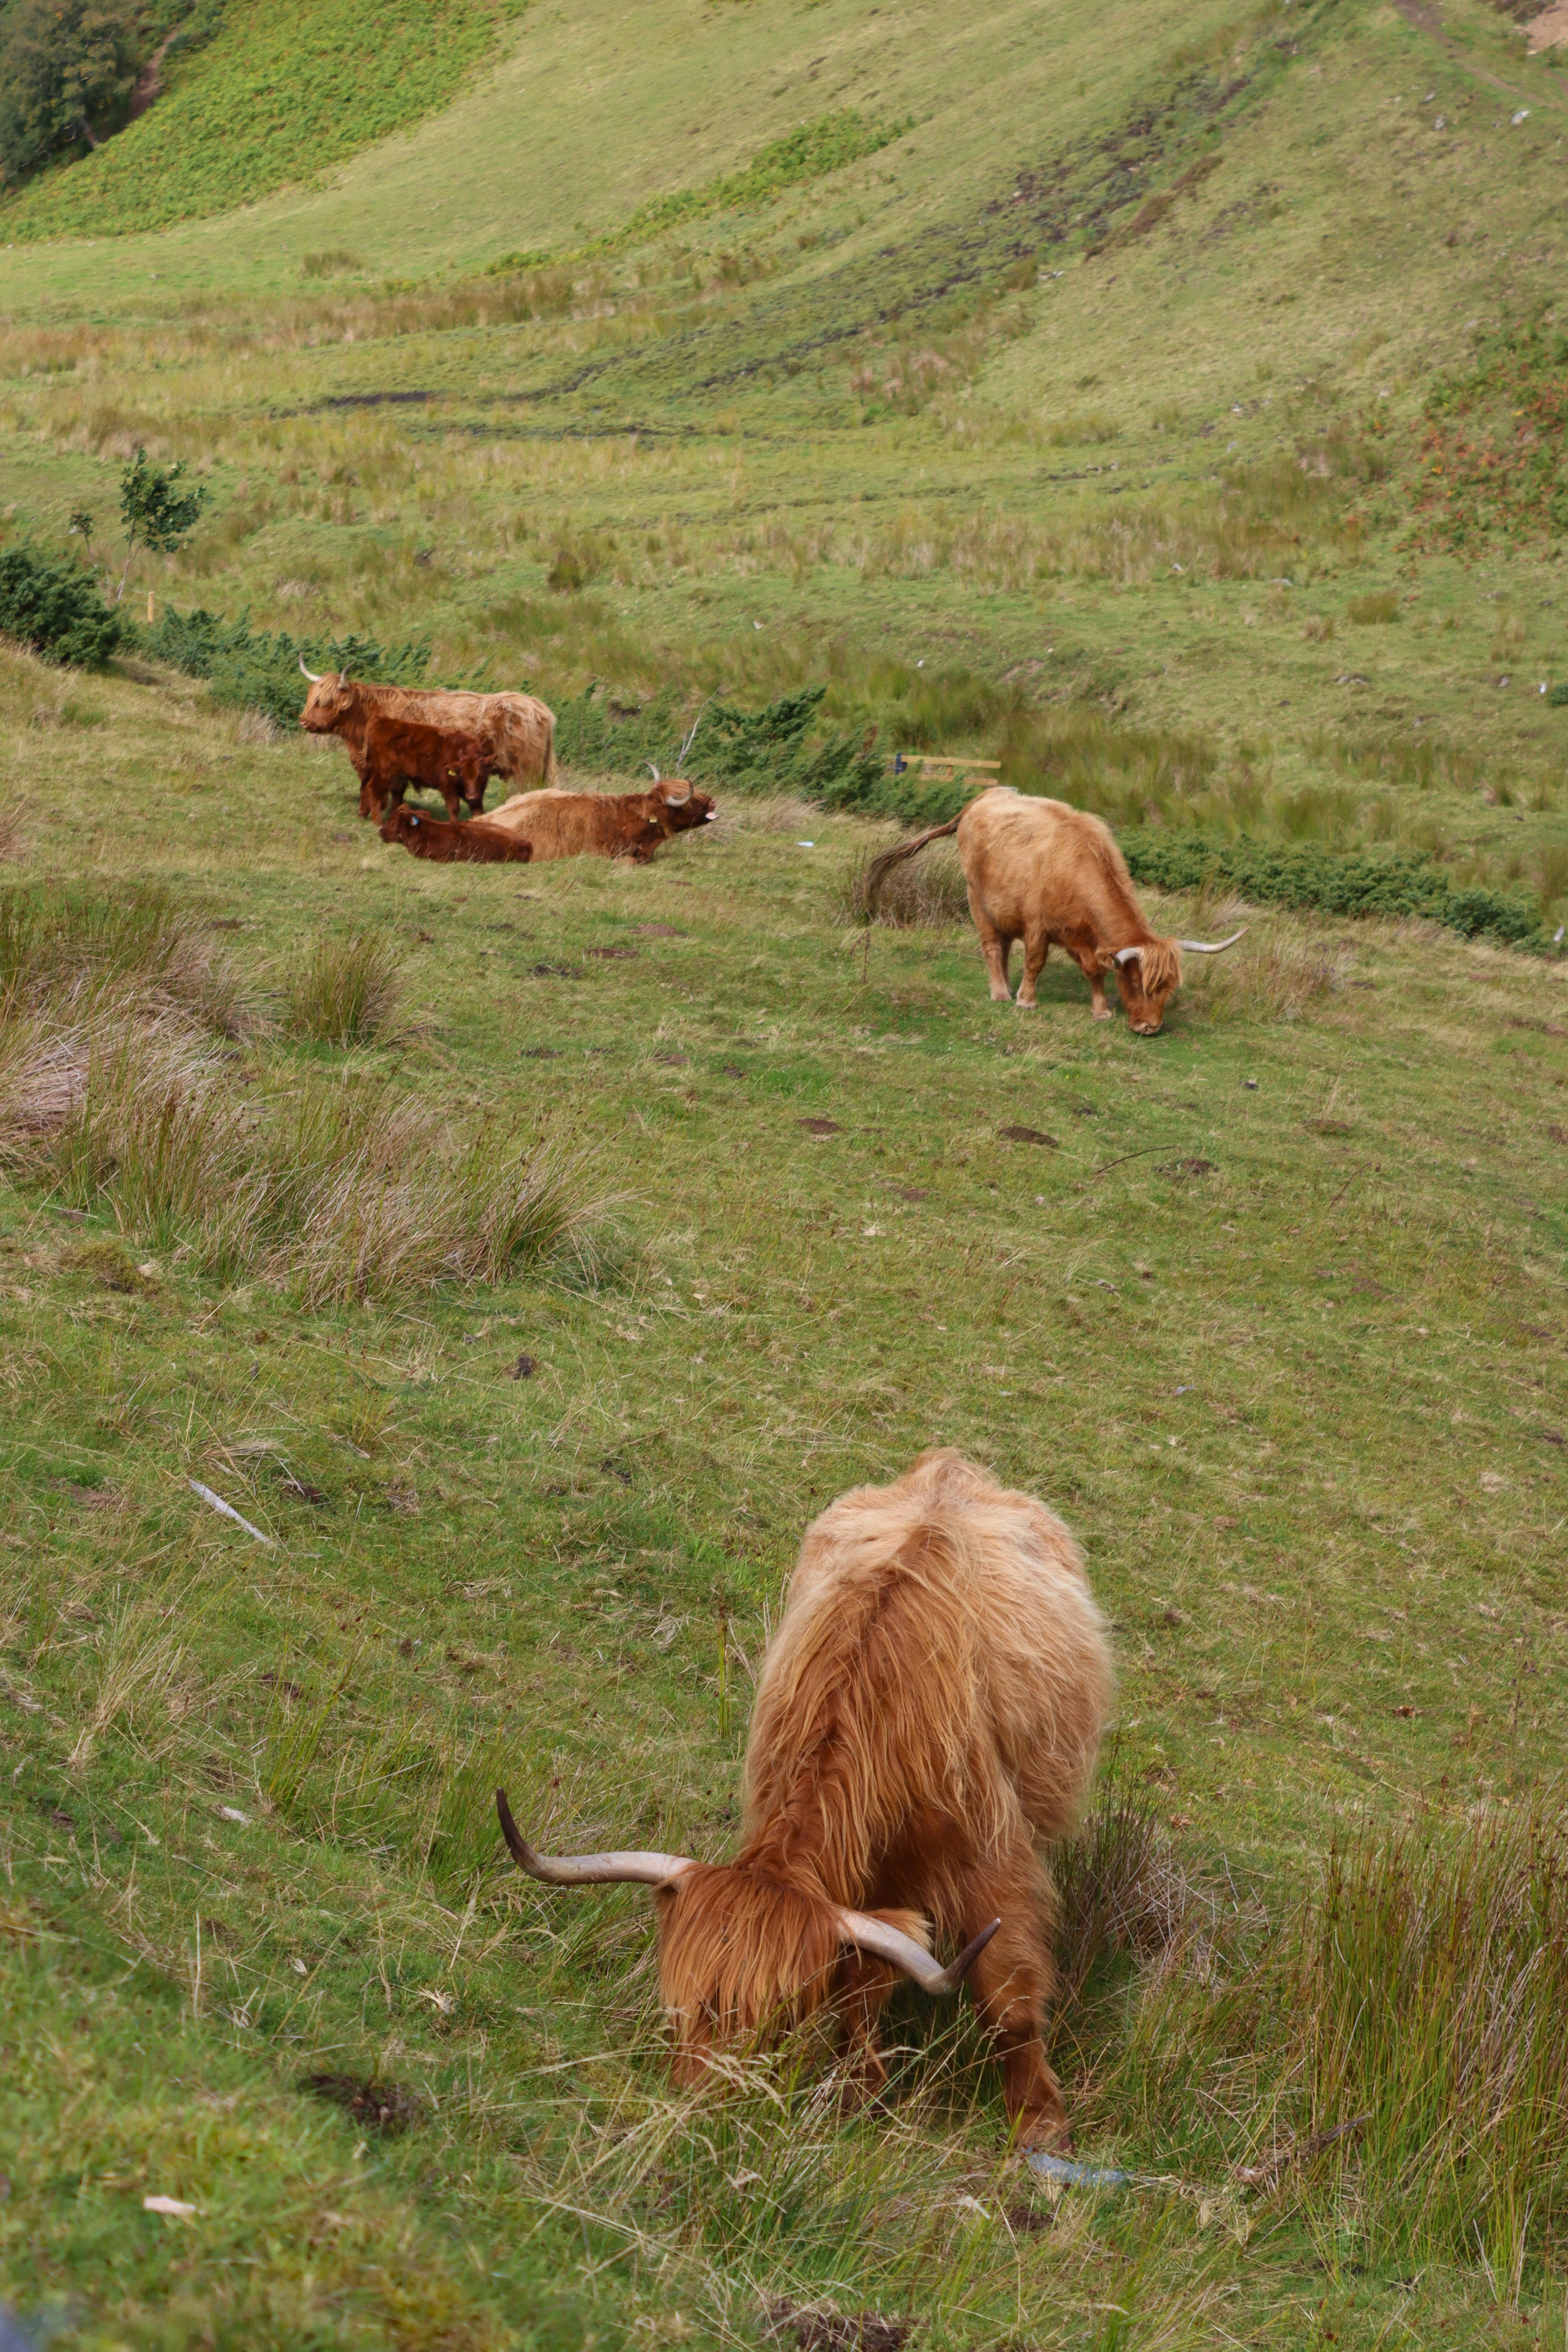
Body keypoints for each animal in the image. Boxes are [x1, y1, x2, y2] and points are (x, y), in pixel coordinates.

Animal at [358, 713, 502, 823]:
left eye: (481, 774)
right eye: (462, 774)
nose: (471, 796)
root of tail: (382, 721)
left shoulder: (478, 794)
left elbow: (479, 811)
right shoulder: (449, 788)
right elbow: (454, 808)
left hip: (393, 775)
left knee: (381, 791)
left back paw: (365, 814)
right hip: (383, 774)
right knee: (374, 790)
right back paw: (378, 822)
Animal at [496, 1448, 1113, 2151]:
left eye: (778, 2017)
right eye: (678, 2004)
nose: (695, 2109)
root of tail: (948, 1465)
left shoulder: (992, 1859)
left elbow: (1007, 1998)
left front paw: (1041, 2126)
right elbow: (859, 1987)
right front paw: (857, 2091)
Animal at [866, 789, 1244, 1034]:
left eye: (1168, 988)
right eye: (1137, 983)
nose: (1150, 1028)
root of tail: (984, 796)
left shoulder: (1086, 939)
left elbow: (1095, 972)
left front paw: (1101, 1011)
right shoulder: (1037, 926)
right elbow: (1035, 962)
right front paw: (1026, 1001)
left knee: (1003, 946)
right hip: (977, 899)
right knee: (991, 946)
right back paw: (1000, 993)